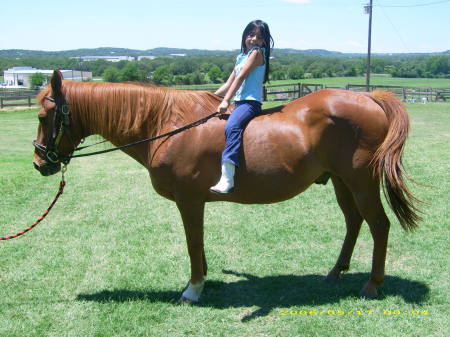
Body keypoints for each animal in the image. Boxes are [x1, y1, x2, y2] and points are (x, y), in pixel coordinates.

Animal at [33, 70, 420, 302]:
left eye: (42, 116)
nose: (39, 162)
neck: (167, 125)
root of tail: (370, 98)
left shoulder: (188, 200)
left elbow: (192, 242)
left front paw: (193, 289)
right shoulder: (194, 202)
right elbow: (198, 243)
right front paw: (201, 278)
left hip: (361, 182)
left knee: (379, 225)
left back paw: (372, 284)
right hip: (342, 182)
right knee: (354, 222)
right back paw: (335, 272)